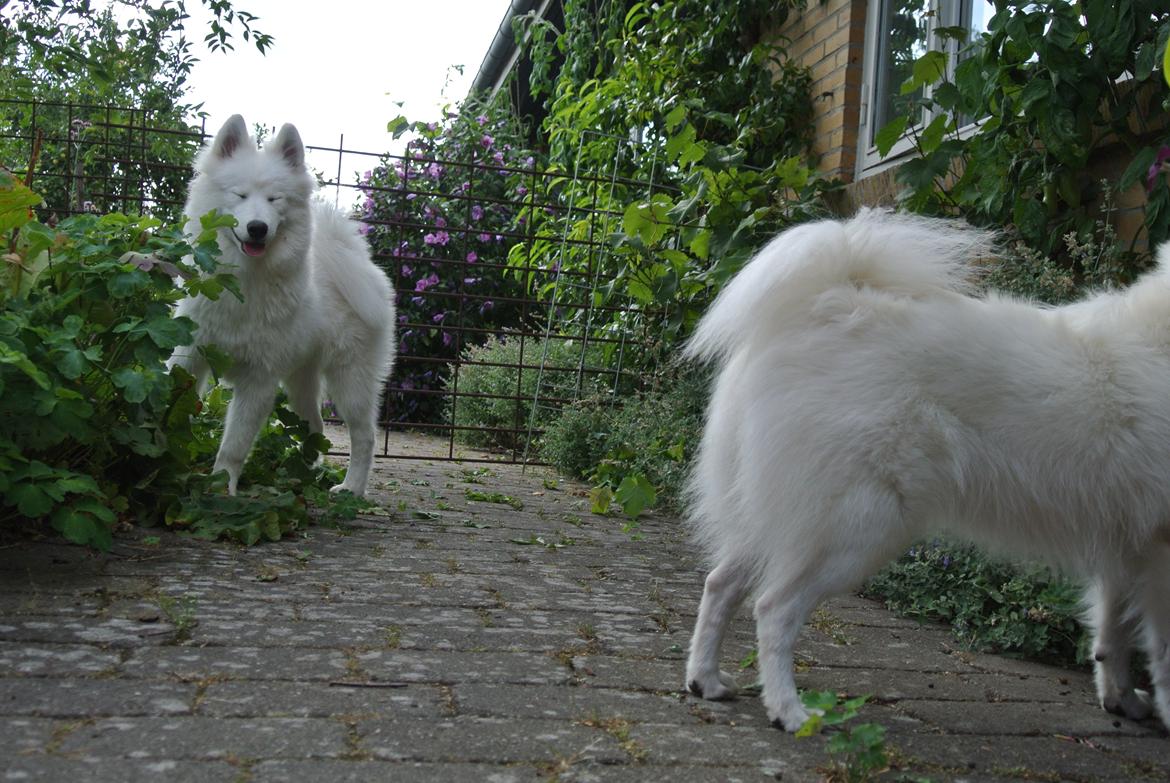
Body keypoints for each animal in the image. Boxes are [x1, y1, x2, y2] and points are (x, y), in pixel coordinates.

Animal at [170, 114, 397, 493]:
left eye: (275, 199)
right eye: (240, 194)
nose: (257, 228)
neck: (243, 283)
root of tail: (360, 264)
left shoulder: (259, 379)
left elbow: (234, 445)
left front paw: (220, 487)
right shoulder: (190, 354)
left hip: (350, 378)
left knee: (364, 435)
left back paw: (351, 488)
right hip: (300, 380)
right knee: (315, 427)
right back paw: (300, 474)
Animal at [683, 209, 1170, 735]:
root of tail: (831, 302)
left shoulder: (1131, 547)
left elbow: (1114, 636)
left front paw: (1123, 700)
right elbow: (1159, 653)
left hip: (780, 513)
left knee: (721, 584)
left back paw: (705, 680)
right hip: (857, 526)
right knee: (773, 608)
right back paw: (790, 712)